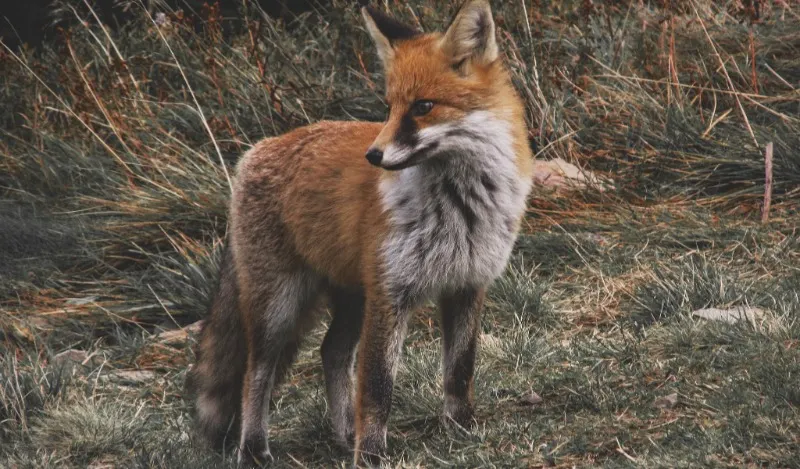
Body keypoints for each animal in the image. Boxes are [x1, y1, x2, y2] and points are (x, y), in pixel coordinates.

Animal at [188, 0, 534, 466]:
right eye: (388, 107)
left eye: (423, 106)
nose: (374, 154)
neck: (459, 208)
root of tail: (256, 150)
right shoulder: (391, 294)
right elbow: (377, 387)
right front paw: (369, 454)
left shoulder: (467, 284)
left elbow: (460, 370)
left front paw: (460, 429)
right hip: (278, 306)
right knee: (255, 373)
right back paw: (255, 448)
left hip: (351, 297)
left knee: (331, 352)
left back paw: (341, 434)